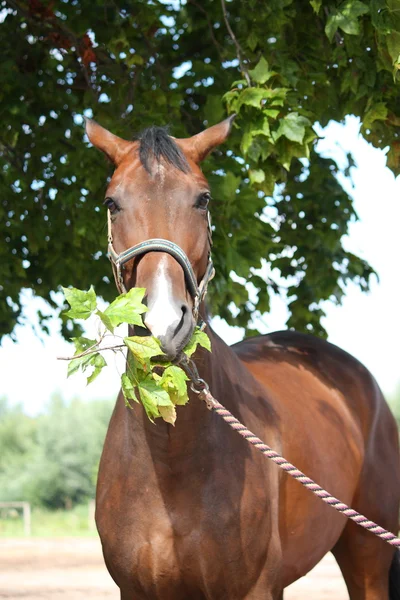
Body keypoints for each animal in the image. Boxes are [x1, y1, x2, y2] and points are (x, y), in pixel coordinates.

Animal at [85, 115, 400, 596]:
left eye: (203, 199)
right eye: (112, 202)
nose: (164, 323)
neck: (171, 458)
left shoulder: (252, 589)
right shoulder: (134, 590)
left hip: (367, 553)